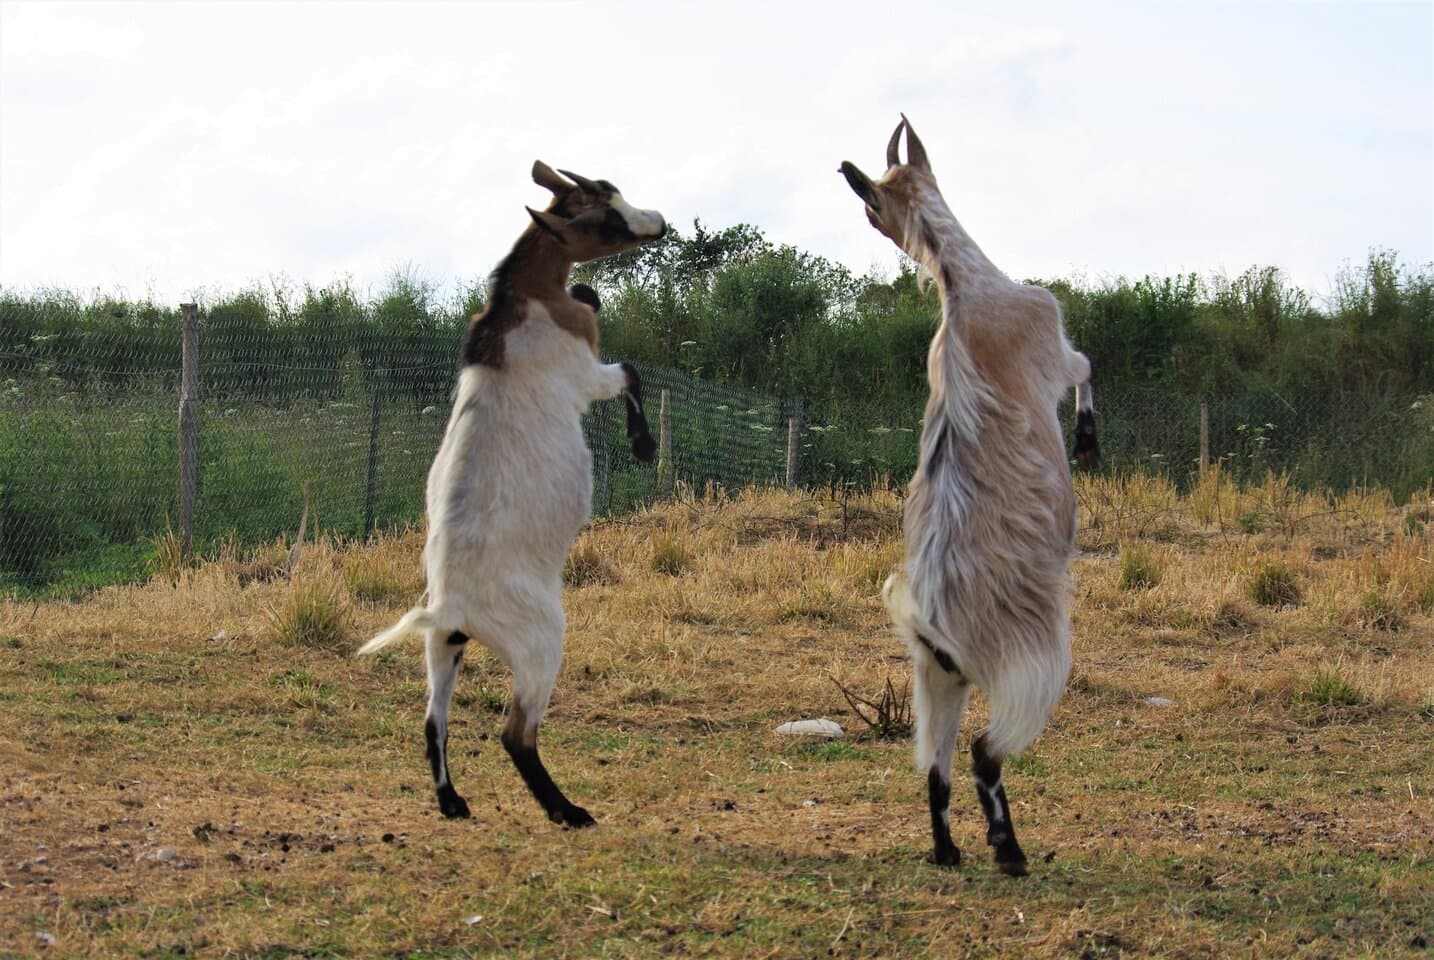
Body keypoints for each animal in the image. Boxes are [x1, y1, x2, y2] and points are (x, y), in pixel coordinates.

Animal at [364, 162, 665, 826]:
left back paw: (453, 801)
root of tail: (451, 607)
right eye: (605, 218)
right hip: (540, 641)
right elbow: (630, 369)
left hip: (442, 649)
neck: (519, 303)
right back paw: (567, 810)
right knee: (515, 734)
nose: (658, 221)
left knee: (433, 722)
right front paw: (644, 446)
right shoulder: (586, 373)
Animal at [837, 116, 1095, 872]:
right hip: (1034, 667)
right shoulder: (1052, 342)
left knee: (935, 768)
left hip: (934, 680)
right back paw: (1008, 851)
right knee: (985, 752)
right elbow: (1086, 367)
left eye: (873, 208)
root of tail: (933, 625)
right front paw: (1089, 441)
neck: (963, 287)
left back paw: (949, 850)